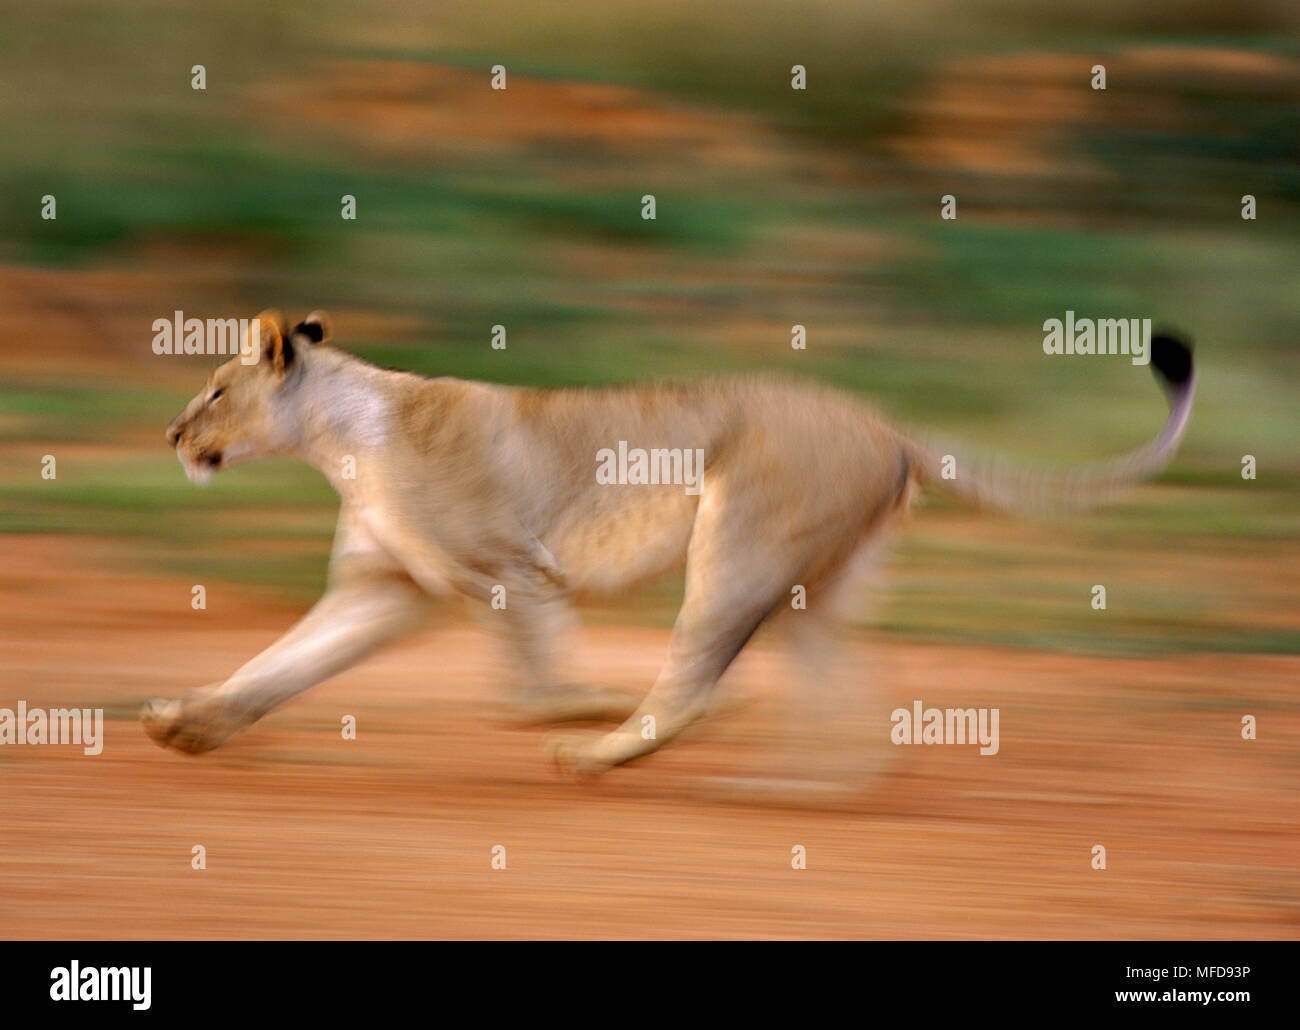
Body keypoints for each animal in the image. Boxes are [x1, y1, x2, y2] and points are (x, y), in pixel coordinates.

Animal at [143, 310, 1195, 784]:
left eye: (216, 388)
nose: (171, 434)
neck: (340, 437)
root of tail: (883, 423)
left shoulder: (513, 570)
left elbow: (534, 689)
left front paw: (581, 709)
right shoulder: (387, 587)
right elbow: (280, 665)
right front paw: (187, 724)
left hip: (736, 546)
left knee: (692, 678)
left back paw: (608, 753)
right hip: (816, 584)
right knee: (851, 693)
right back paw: (799, 788)